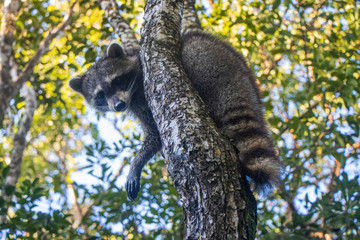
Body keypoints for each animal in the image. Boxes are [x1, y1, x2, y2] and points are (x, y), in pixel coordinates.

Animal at [68, 30, 282, 201]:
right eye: (100, 95)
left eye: (117, 80)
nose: (119, 105)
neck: (133, 91)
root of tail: (244, 79)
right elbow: (153, 134)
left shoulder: (145, 91)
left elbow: (154, 137)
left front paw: (136, 163)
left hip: (210, 63)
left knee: (191, 51)